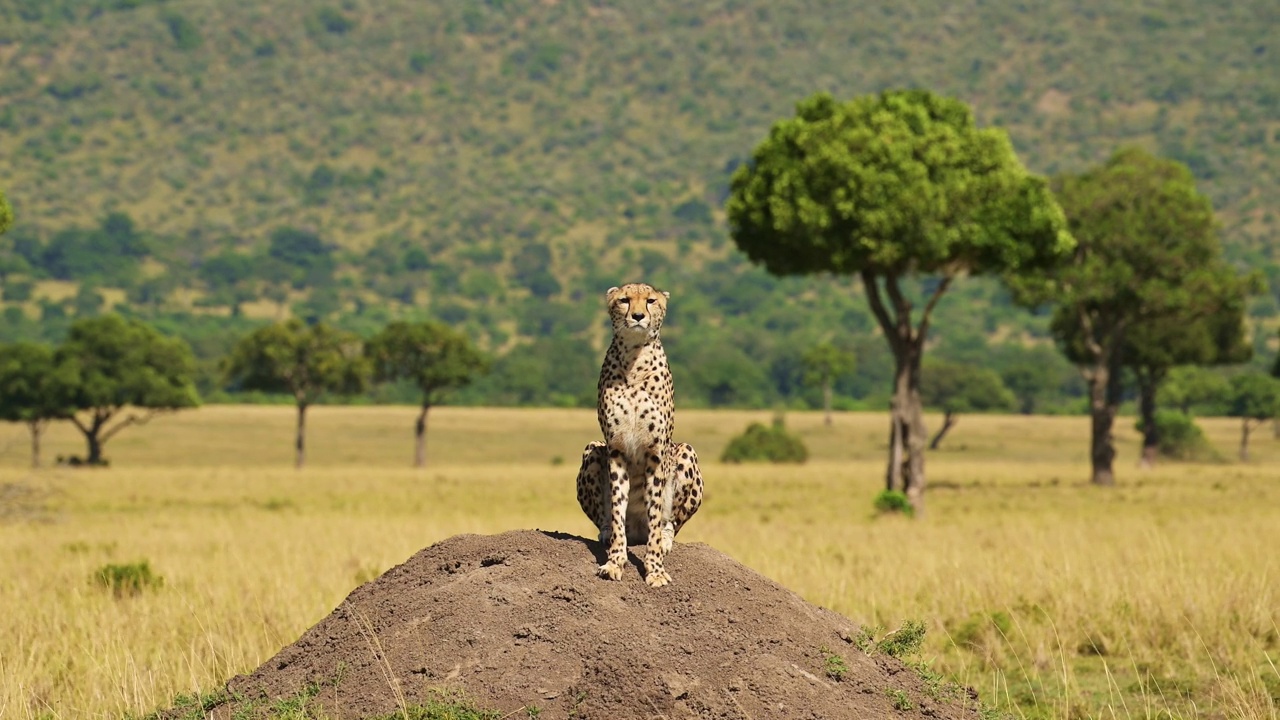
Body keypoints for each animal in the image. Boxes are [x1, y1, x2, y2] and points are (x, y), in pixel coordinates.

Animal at [576, 280, 706, 584]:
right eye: (624, 300)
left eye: (650, 301)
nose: (637, 316)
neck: (634, 360)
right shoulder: (616, 449)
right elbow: (617, 506)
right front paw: (614, 561)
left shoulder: (656, 452)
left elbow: (655, 512)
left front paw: (655, 569)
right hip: (592, 449)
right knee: (608, 517)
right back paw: (607, 533)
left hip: (686, 452)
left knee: (669, 523)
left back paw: (666, 539)